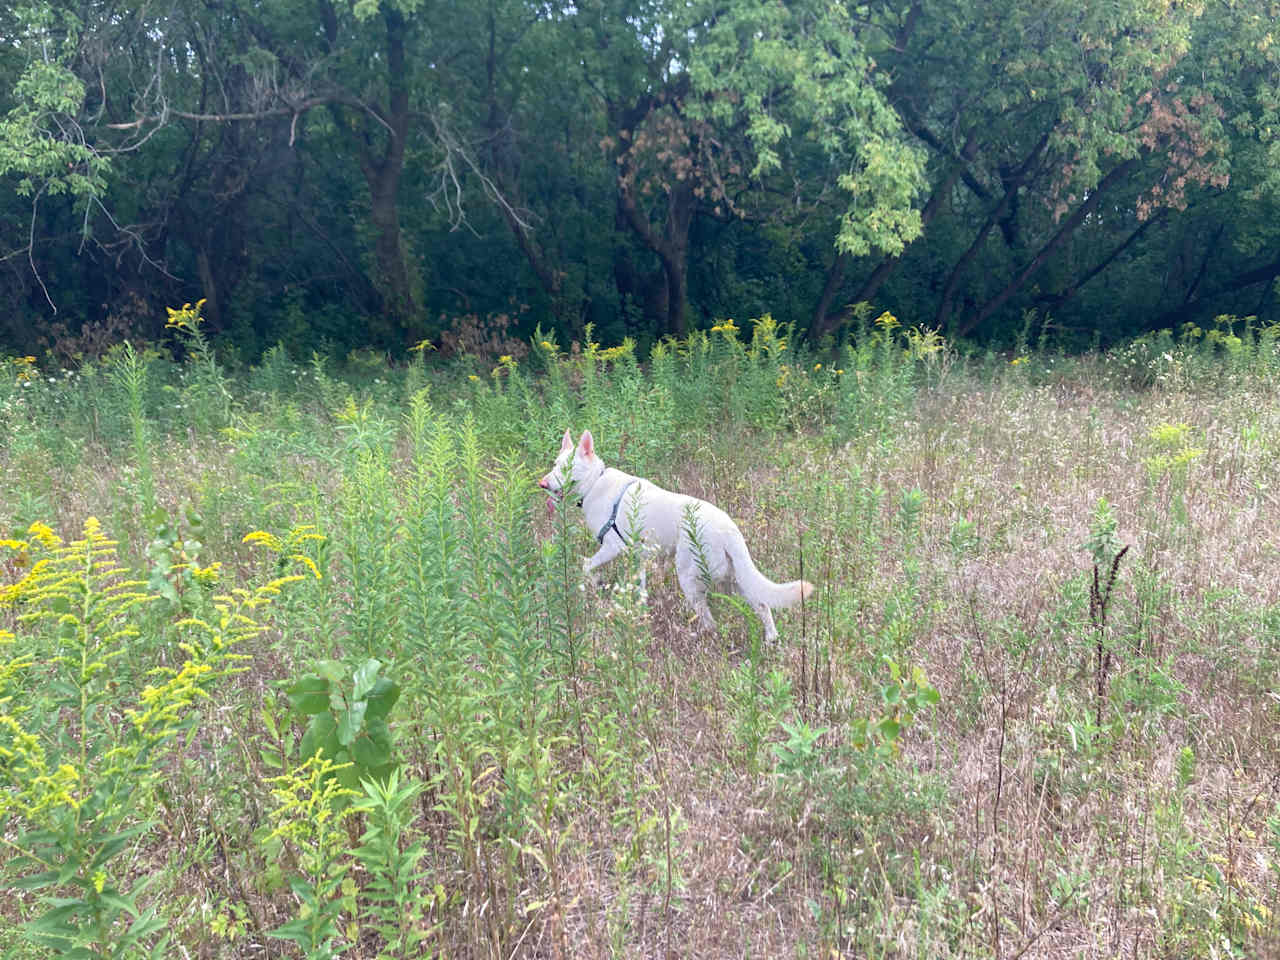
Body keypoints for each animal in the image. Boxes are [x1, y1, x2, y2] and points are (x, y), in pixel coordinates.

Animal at [540, 432, 808, 642]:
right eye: (554, 464)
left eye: (565, 468)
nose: (542, 483)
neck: (595, 482)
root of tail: (729, 530)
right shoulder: (638, 557)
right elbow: (640, 588)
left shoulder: (612, 547)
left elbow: (586, 565)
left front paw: (595, 583)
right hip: (736, 580)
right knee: (762, 605)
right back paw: (771, 639)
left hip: (690, 580)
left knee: (711, 623)